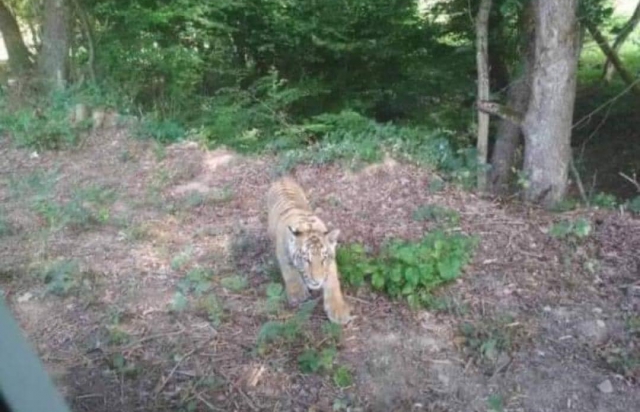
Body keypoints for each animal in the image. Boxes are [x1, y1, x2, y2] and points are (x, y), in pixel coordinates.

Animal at [266, 176, 352, 325]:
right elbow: (290, 271)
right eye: (306, 259)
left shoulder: (330, 263)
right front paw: (298, 293)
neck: (307, 227)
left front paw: (338, 310)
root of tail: (282, 178)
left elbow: (333, 283)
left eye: (323, 259)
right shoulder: (283, 253)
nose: (317, 282)